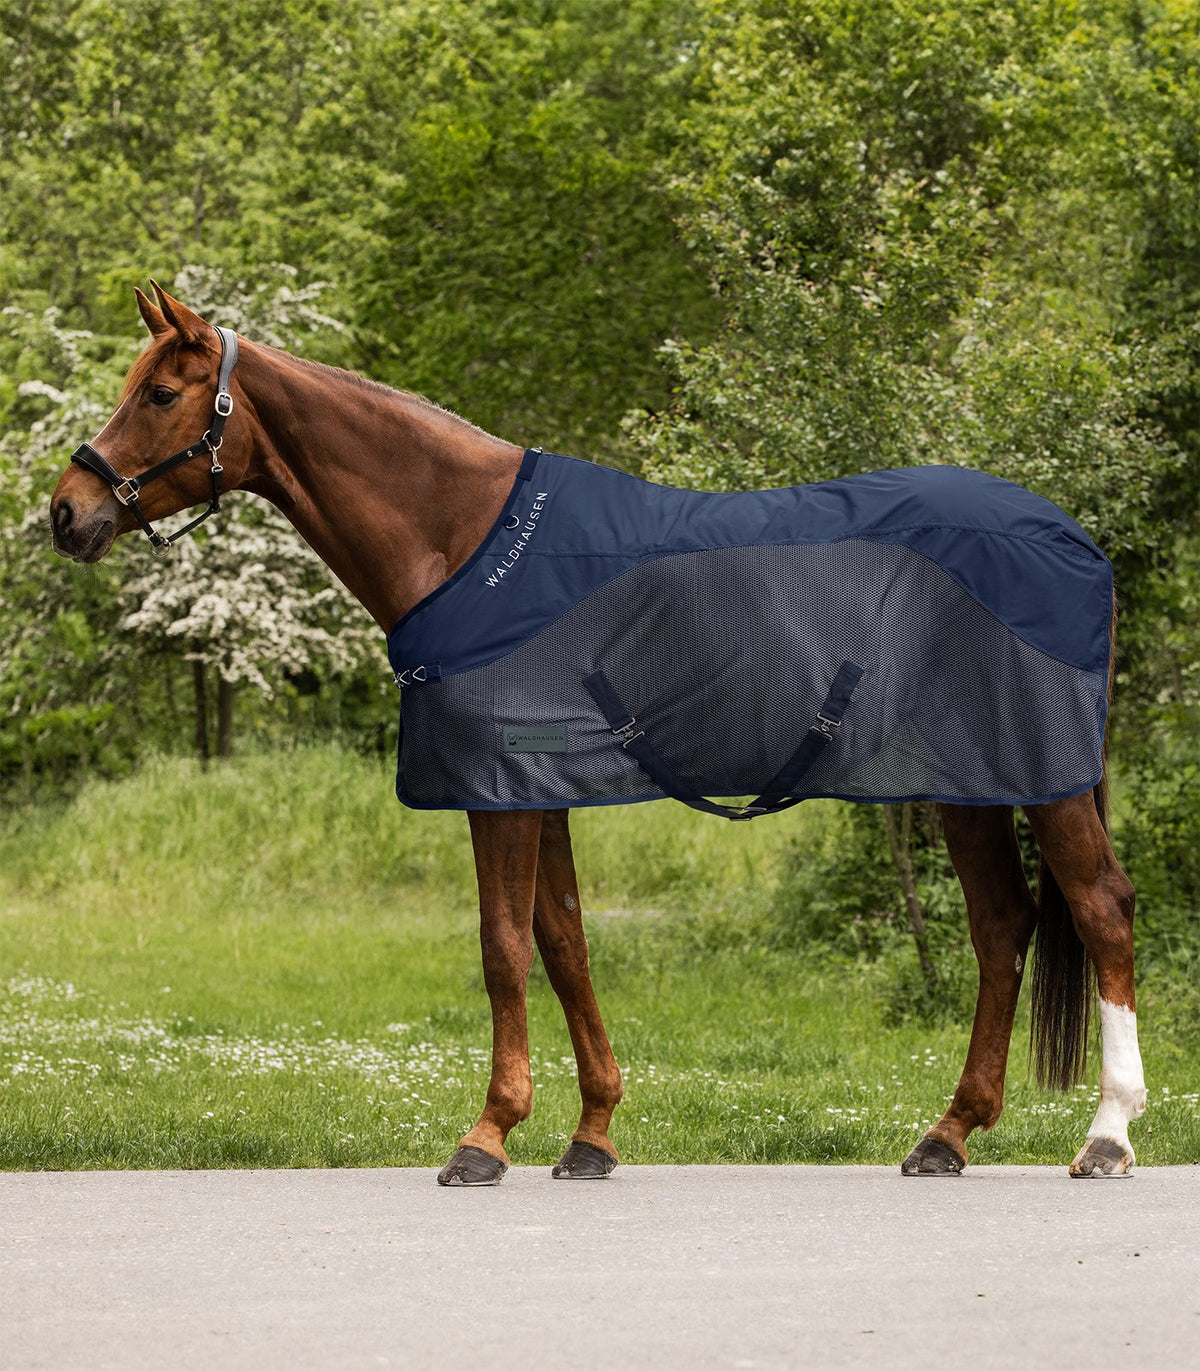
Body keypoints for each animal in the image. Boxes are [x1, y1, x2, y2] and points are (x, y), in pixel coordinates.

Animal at [48, 283, 1147, 1183]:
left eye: (160, 394)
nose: (67, 511)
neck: (465, 540)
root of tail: (1071, 537)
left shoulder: (496, 790)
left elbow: (502, 947)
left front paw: (487, 1136)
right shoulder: (539, 791)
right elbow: (564, 941)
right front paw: (591, 1134)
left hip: (1043, 781)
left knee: (1100, 910)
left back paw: (1107, 1135)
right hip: (968, 783)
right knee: (1003, 926)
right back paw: (947, 1134)